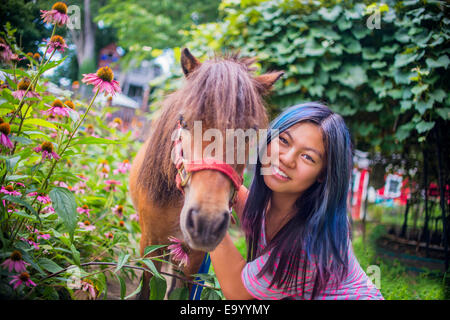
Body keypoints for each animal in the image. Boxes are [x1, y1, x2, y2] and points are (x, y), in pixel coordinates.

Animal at [128, 48, 282, 300]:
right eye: (183, 121)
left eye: (250, 132)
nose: (206, 223)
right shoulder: (149, 244)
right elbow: (147, 288)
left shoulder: (194, 256)